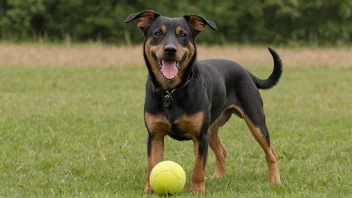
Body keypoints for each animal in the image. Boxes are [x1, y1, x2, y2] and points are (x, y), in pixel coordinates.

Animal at [125, 10, 282, 193]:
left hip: (256, 122)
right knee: (222, 152)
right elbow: (152, 164)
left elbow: (198, 166)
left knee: (270, 152)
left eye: (183, 35)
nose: (170, 50)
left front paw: (197, 189)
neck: (172, 91)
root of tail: (245, 70)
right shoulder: (155, 135)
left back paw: (275, 180)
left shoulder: (200, 136)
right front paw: (149, 189)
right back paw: (218, 177)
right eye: (157, 33)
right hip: (212, 128)